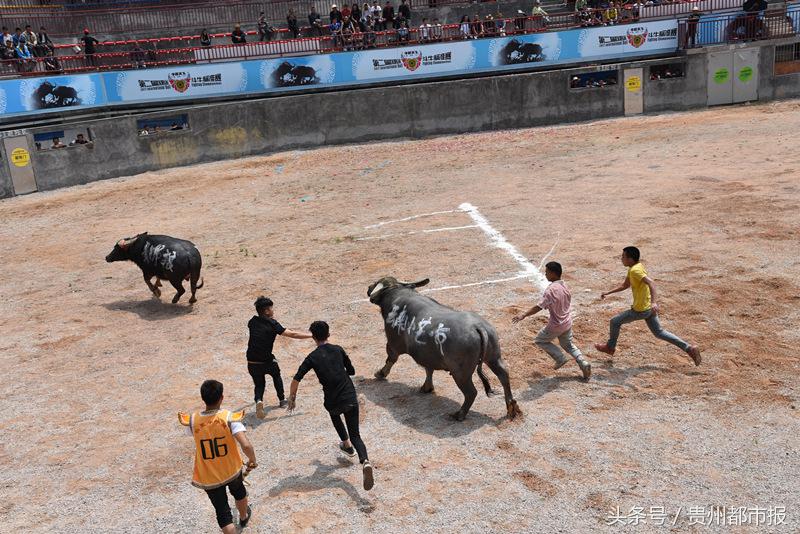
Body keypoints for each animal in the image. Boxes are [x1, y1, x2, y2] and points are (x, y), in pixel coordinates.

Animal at [368, 276, 520, 422]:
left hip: (461, 373)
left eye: (376, 283)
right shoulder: (427, 355)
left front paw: (380, 373)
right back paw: (512, 407)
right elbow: (428, 370)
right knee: (504, 376)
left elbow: (390, 359)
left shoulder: (392, 345)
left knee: (471, 392)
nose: (369, 288)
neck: (397, 295)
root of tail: (478, 327)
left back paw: (459, 414)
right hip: (494, 358)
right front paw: (427, 388)